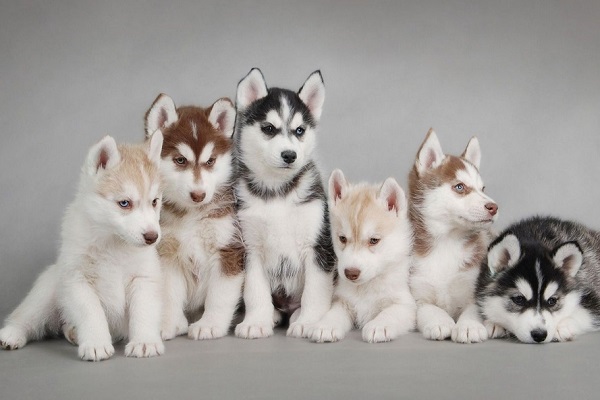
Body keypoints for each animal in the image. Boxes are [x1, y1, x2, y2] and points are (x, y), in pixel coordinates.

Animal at [0, 133, 164, 360]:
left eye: (155, 202)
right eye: (124, 203)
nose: (152, 237)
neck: (113, 243)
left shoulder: (144, 278)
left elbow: (143, 312)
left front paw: (145, 341)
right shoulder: (77, 280)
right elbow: (91, 313)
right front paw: (96, 343)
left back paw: (72, 332)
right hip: (47, 291)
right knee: (26, 316)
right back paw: (12, 334)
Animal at [145, 94, 244, 340]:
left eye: (210, 161)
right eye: (180, 160)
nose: (199, 195)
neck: (192, 215)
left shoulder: (228, 249)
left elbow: (220, 296)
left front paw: (210, 324)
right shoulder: (168, 254)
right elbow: (169, 293)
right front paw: (168, 323)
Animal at [233, 68, 338, 338]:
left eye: (300, 130)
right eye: (269, 128)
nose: (290, 155)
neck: (277, 192)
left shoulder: (318, 246)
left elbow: (315, 292)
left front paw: (309, 323)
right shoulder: (250, 247)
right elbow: (255, 291)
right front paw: (255, 322)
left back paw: (299, 315)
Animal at [308, 170, 414, 342]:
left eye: (374, 240)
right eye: (342, 238)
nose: (351, 273)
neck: (366, 287)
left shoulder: (406, 304)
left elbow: (390, 312)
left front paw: (379, 326)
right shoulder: (342, 301)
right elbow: (334, 313)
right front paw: (325, 325)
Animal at [408, 130, 496, 342]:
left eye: (482, 189)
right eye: (460, 187)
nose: (494, 207)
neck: (446, 243)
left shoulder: (474, 290)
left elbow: (473, 310)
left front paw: (469, 326)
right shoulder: (418, 294)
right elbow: (428, 308)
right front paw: (440, 322)